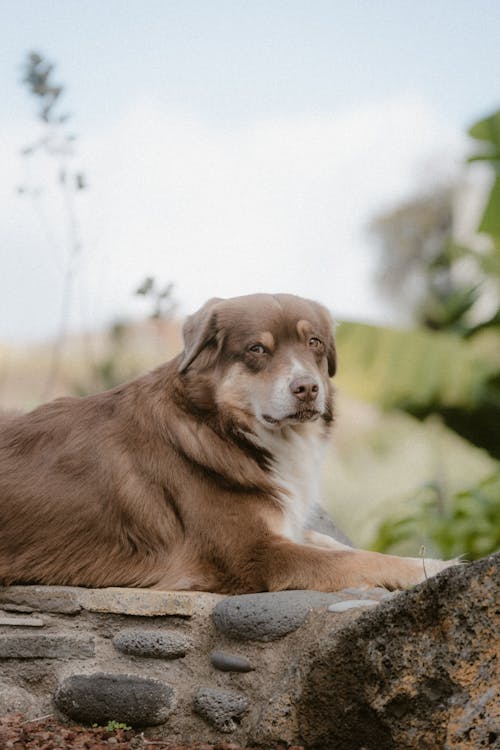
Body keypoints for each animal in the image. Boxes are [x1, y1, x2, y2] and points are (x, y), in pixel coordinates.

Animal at [0, 294, 456, 592]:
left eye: (314, 343)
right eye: (257, 349)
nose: (307, 388)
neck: (221, 425)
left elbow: (331, 542)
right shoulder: (253, 556)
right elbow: (357, 557)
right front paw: (438, 567)